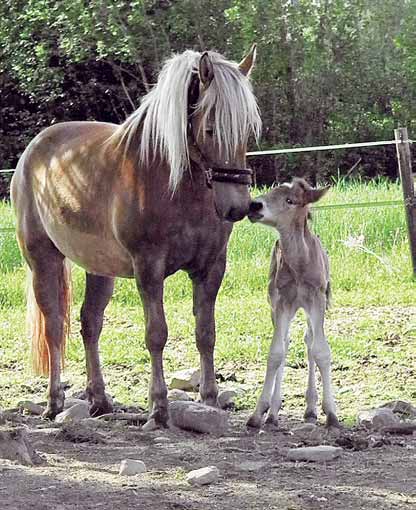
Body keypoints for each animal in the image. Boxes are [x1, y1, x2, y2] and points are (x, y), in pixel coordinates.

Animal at [12, 45, 260, 426]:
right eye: (210, 129)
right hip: (42, 259)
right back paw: (54, 403)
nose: (236, 207)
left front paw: (210, 400)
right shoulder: (148, 268)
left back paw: (100, 401)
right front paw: (158, 409)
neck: (172, 184)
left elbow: (206, 333)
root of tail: (32, 151)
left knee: (90, 324)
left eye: (247, 129)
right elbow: (156, 334)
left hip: (99, 269)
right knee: (54, 326)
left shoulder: (211, 267)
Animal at [247, 177, 338, 428]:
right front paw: (259, 413)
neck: (299, 265)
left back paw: (310, 408)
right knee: (287, 341)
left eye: (290, 200)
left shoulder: (316, 299)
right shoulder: (282, 303)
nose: (254, 205)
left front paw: (331, 413)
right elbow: (276, 352)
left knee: (309, 340)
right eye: (270, 192)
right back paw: (274, 412)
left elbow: (321, 351)